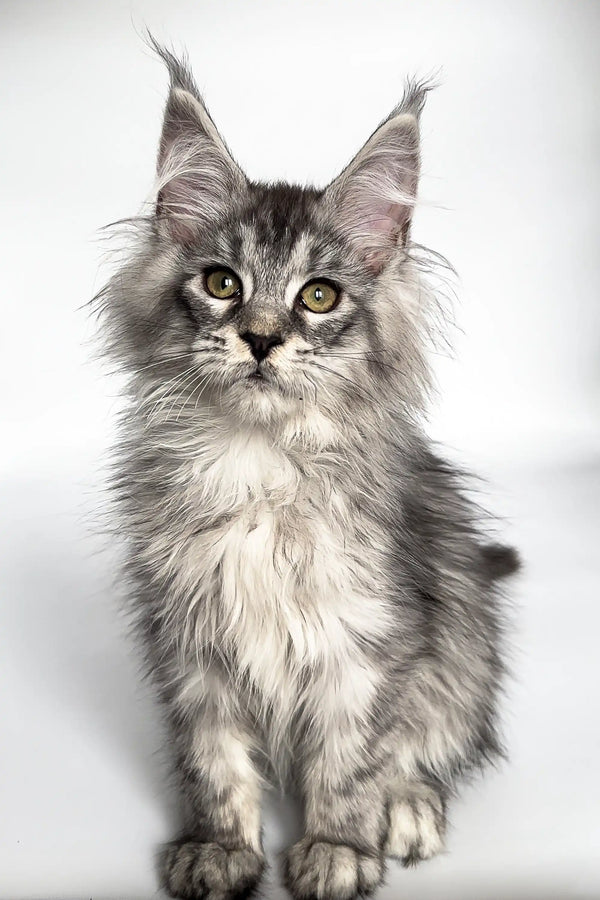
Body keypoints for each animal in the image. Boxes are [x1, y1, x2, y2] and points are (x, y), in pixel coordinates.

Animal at [96, 44, 516, 900]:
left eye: (318, 297)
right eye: (222, 283)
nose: (260, 339)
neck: (258, 461)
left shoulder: (368, 641)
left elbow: (352, 760)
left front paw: (338, 848)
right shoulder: (190, 635)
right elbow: (213, 759)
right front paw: (220, 848)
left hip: (465, 637)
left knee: (440, 739)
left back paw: (409, 807)